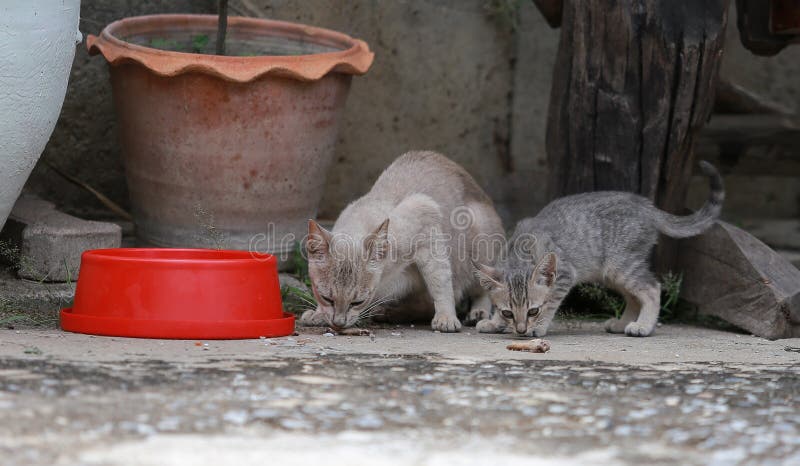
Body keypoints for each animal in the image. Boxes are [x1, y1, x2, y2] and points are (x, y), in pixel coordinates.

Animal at [298, 152, 500, 332]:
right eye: (326, 298)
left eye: (357, 302)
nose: (338, 324)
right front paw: (318, 314)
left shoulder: (426, 222)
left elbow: (440, 284)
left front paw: (446, 318)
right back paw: (387, 313)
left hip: (479, 246)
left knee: (481, 288)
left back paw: (478, 313)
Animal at [476, 162, 724, 336]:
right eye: (508, 312)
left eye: (533, 311)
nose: (520, 330)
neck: (520, 252)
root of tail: (647, 206)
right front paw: (495, 322)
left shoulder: (565, 274)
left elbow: (552, 303)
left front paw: (539, 326)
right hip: (610, 273)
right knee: (635, 296)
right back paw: (624, 323)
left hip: (622, 266)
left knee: (652, 288)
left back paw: (643, 325)